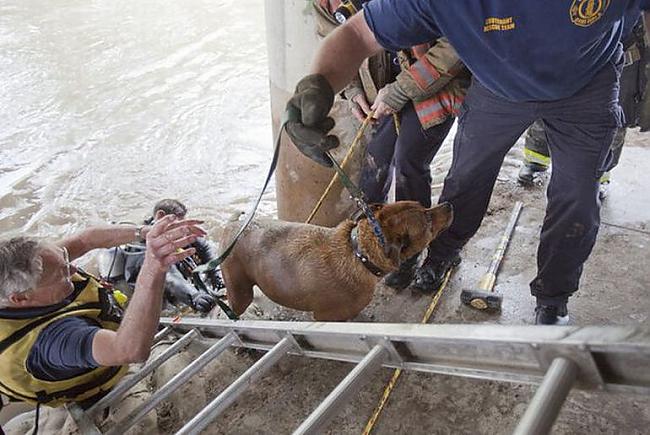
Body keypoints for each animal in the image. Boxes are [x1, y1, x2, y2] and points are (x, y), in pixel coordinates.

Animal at [220, 203, 454, 322]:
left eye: (425, 206)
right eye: (428, 221)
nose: (450, 204)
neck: (359, 253)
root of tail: (233, 225)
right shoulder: (327, 316)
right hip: (239, 291)